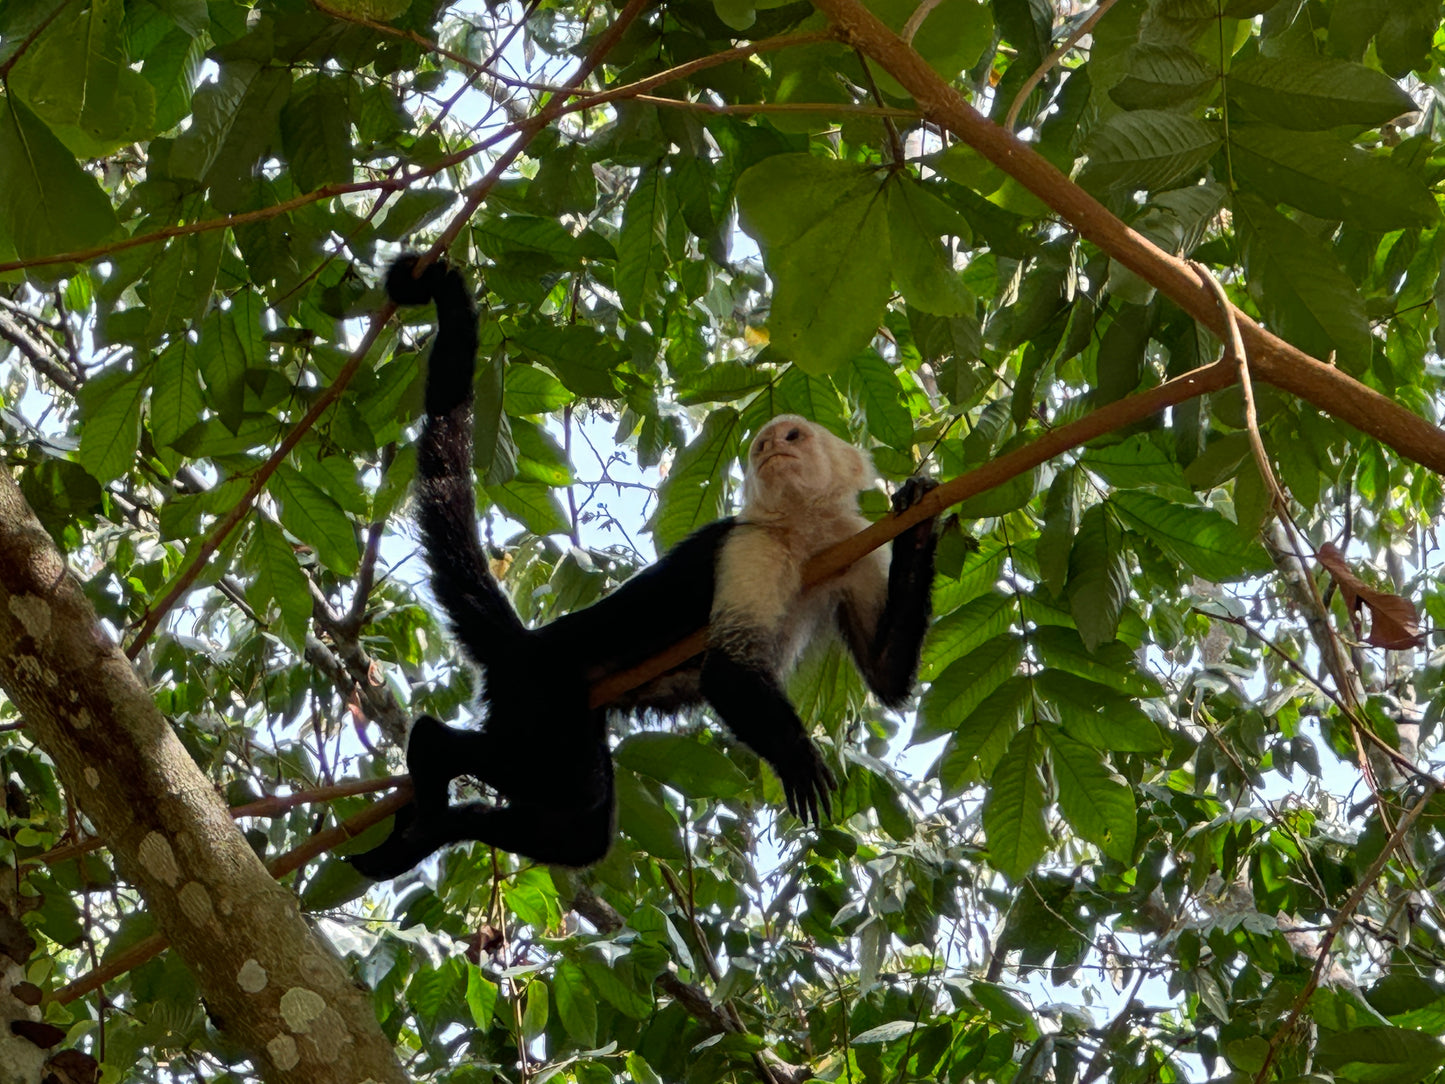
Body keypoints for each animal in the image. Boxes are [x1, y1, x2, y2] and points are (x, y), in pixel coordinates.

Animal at [346, 257, 936, 884]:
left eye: (793, 435)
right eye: (760, 445)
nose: (768, 446)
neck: (800, 532)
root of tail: (527, 644)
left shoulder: (855, 547)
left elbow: (886, 675)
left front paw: (922, 517)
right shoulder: (750, 545)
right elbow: (725, 673)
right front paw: (797, 757)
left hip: (564, 710)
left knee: (580, 826)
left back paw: (433, 827)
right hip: (537, 692)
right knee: (542, 773)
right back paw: (432, 749)